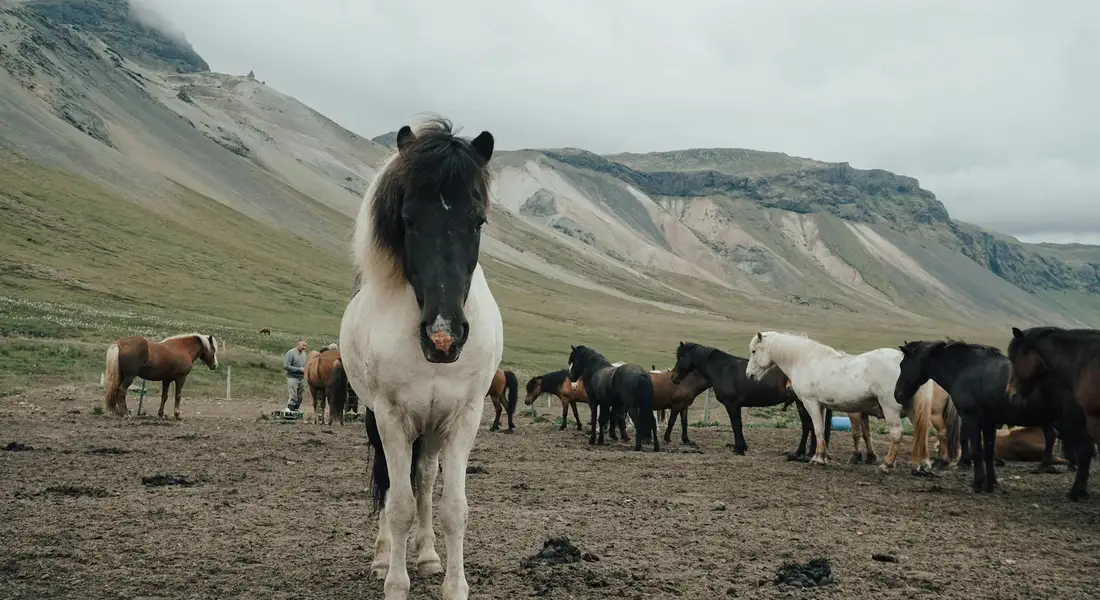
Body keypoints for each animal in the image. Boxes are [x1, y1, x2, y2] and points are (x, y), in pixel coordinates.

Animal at [337, 117, 501, 600]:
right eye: (407, 220)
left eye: (478, 219)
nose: (444, 336)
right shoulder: (391, 416)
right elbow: (398, 504)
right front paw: (395, 582)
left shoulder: (465, 416)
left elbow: (453, 507)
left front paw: (454, 585)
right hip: (380, 418)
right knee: (390, 482)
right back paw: (381, 557)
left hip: (431, 426)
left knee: (425, 477)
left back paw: (427, 555)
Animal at [673, 341, 832, 459]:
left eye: (681, 356)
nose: (673, 377)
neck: (723, 369)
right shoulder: (736, 406)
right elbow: (739, 425)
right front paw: (741, 447)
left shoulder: (731, 405)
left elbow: (735, 425)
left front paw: (739, 449)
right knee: (810, 426)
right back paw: (805, 453)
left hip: (803, 403)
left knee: (809, 425)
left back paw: (802, 453)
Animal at [746, 331, 935, 474]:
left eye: (754, 351)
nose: (749, 375)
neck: (805, 360)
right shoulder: (821, 406)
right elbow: (821, 430)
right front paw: (820, 456)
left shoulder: (811, 403)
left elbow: (818, 429)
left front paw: (818, 458)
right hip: (912, 410)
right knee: (922, 433)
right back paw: (924, 465)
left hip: (891, 409)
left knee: (897, 434)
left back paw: (887, 465)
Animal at [895, 339, 1070, 495]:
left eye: (902, 365)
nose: (897, 395)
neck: (965, 369)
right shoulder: (988, 423)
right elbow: (988, 452)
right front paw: (991, 484)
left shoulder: (972, 419)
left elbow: (976, 450)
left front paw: (978, 483)